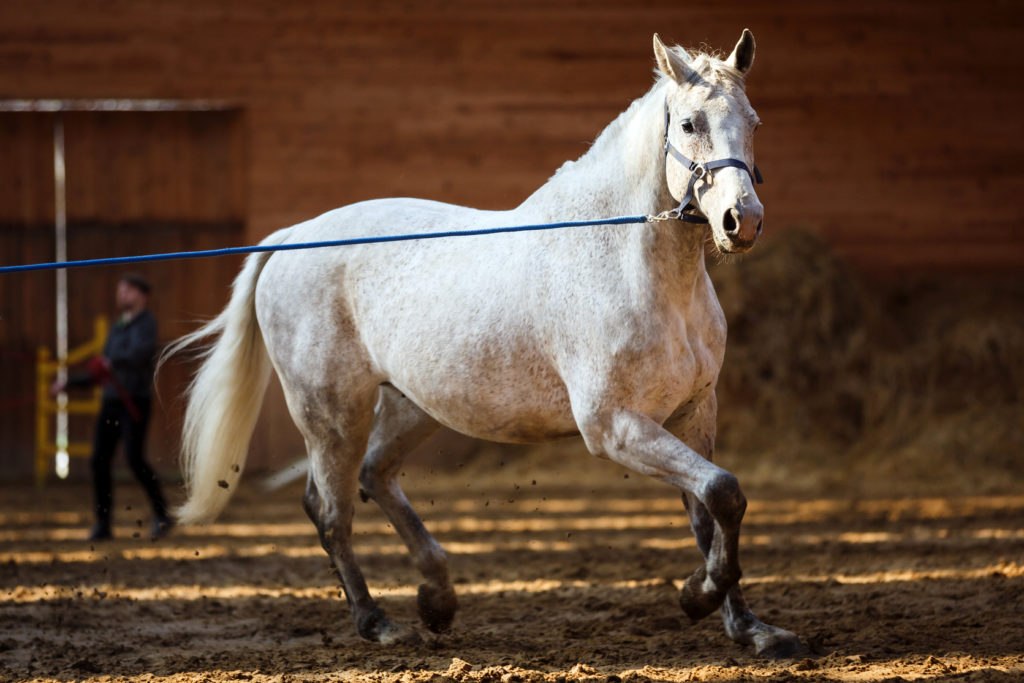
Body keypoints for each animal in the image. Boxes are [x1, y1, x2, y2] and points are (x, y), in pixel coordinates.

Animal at [167, 30, 802, 655]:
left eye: (753, 121)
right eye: (690, 123)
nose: (742, 220)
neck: (630, 262)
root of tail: (291, 237)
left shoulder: (693, 412)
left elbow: (713, 510)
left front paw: (751, 628)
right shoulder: (613, 426)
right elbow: (723, 491)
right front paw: (698, 598)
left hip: (412, 405)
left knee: (374, 476)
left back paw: (437, 598)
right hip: (331, 412)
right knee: (331, 510)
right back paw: (377, 621)